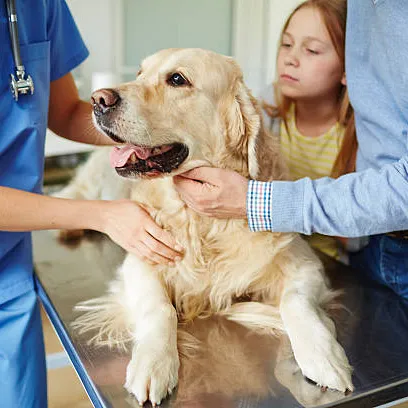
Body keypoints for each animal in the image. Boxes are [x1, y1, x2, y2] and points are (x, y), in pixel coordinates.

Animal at [58, 47, 354, 404]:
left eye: (177, 79)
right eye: (141, 73)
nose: (98, 100)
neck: (202, 223)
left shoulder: (304, 261)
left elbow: (295, 301)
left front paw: (323, 357)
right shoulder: (141, 259)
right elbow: (160, 308)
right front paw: (154, 363)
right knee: (72, 193)